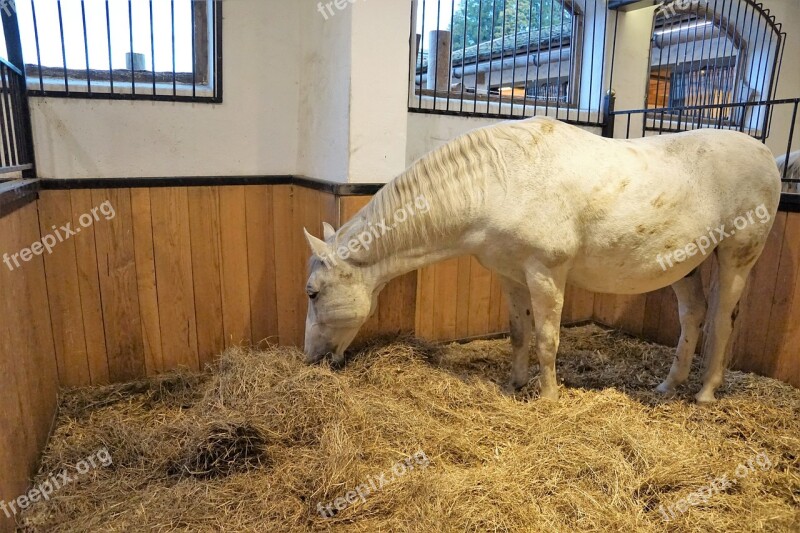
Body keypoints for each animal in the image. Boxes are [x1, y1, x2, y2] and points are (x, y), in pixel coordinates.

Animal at [302, 115, 780, 400]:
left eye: (312, 293)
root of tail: (765, 153)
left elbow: (548, 338)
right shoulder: (511, 275)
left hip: (736, 257)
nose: (310, 359)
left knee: (721, 320)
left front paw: (548, 397)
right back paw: (668, 385)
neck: (497, 181)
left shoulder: (546, 273)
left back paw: (705, 392)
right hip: (687, 265)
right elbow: (519, 332)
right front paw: (515, 384)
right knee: (692, 316)